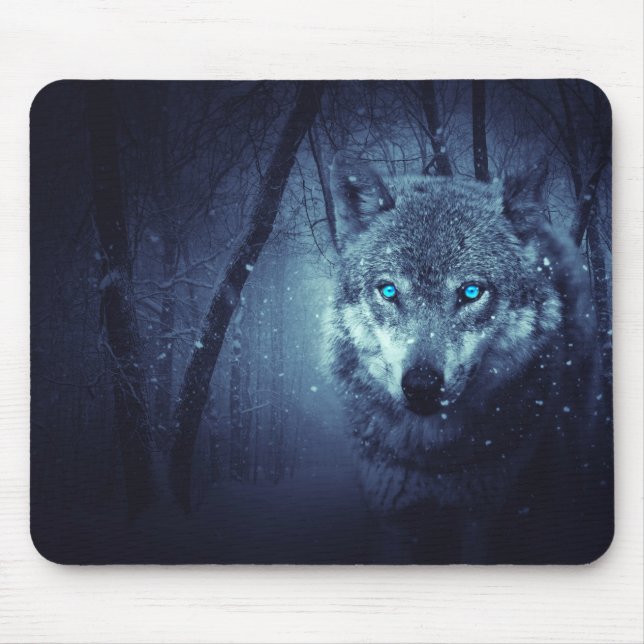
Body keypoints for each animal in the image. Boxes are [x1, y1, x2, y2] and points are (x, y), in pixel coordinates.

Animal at [325, 153, 613, 563]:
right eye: (389, 291)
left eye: (471, 292)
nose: (422, 385)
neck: (433, 457)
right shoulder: (393, 519)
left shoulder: (484, 516)